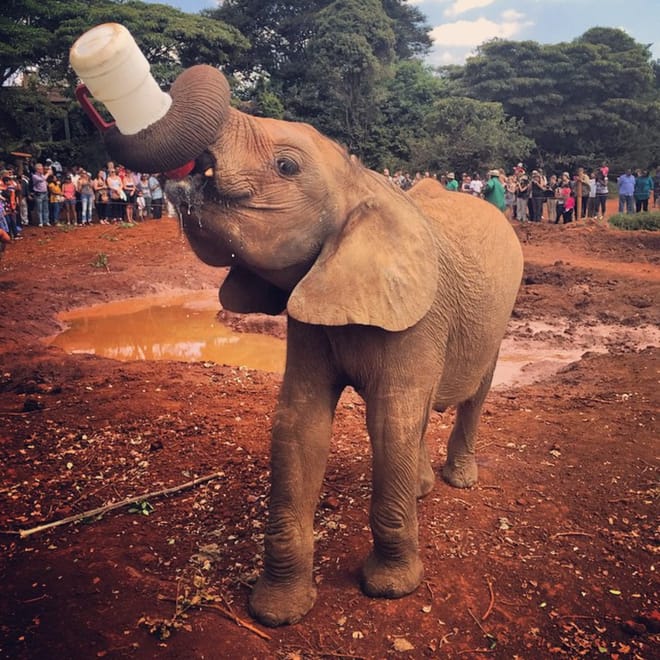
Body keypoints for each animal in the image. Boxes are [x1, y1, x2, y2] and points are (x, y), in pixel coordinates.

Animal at [99, 64, 524, 627]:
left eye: (286, 165)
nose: (100, 103)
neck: (361, 181)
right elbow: (300, 423)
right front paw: (278, 611)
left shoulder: (418, 315)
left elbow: (390, 422)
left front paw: (390, 589)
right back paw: (422, 489)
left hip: (500, 312)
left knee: (473, 395)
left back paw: (457, 482)